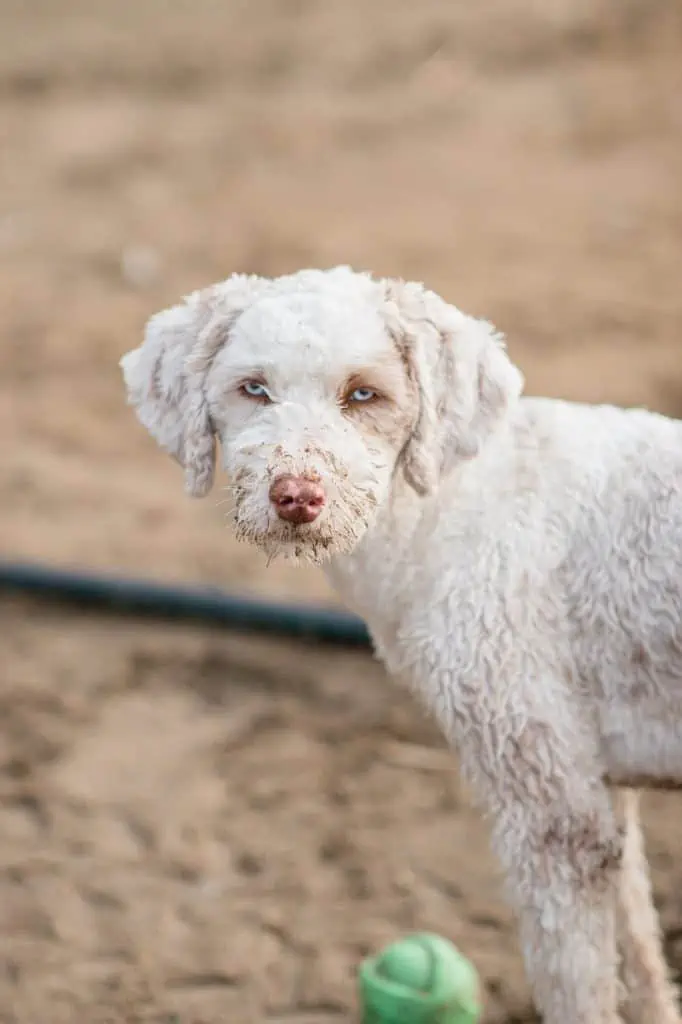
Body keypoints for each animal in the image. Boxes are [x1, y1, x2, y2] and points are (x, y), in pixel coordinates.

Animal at [122, 268, 679, 1024]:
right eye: (253, 388)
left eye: (364, 394)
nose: (296, 497)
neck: (441, 502)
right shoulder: (601, 785)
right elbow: (643, 958)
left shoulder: (550, 809)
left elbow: (579, 988)